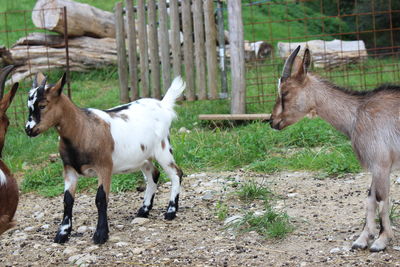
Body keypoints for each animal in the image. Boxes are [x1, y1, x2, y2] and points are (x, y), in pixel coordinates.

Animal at [25, 73, 185, 245]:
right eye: (28, 105)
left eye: (42, 105)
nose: (28, 129)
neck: (83, 129)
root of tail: (163, 104)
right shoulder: (69, 168)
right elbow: (68, 200)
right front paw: (62, 234)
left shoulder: (104, 166)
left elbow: (101, 198)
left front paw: (100, 234)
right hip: (142, 157)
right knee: (153, 174)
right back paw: (143, 210)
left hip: (162, 149)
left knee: (176, 173)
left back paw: (170, 212)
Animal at [270, 46, 398, 253]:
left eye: (285, 92)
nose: (272, 121)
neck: (356, 113)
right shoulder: (376, 165)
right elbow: (370, 198)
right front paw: (362, 239)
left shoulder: (381, 163)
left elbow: (380, 198)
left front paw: (381, 241)